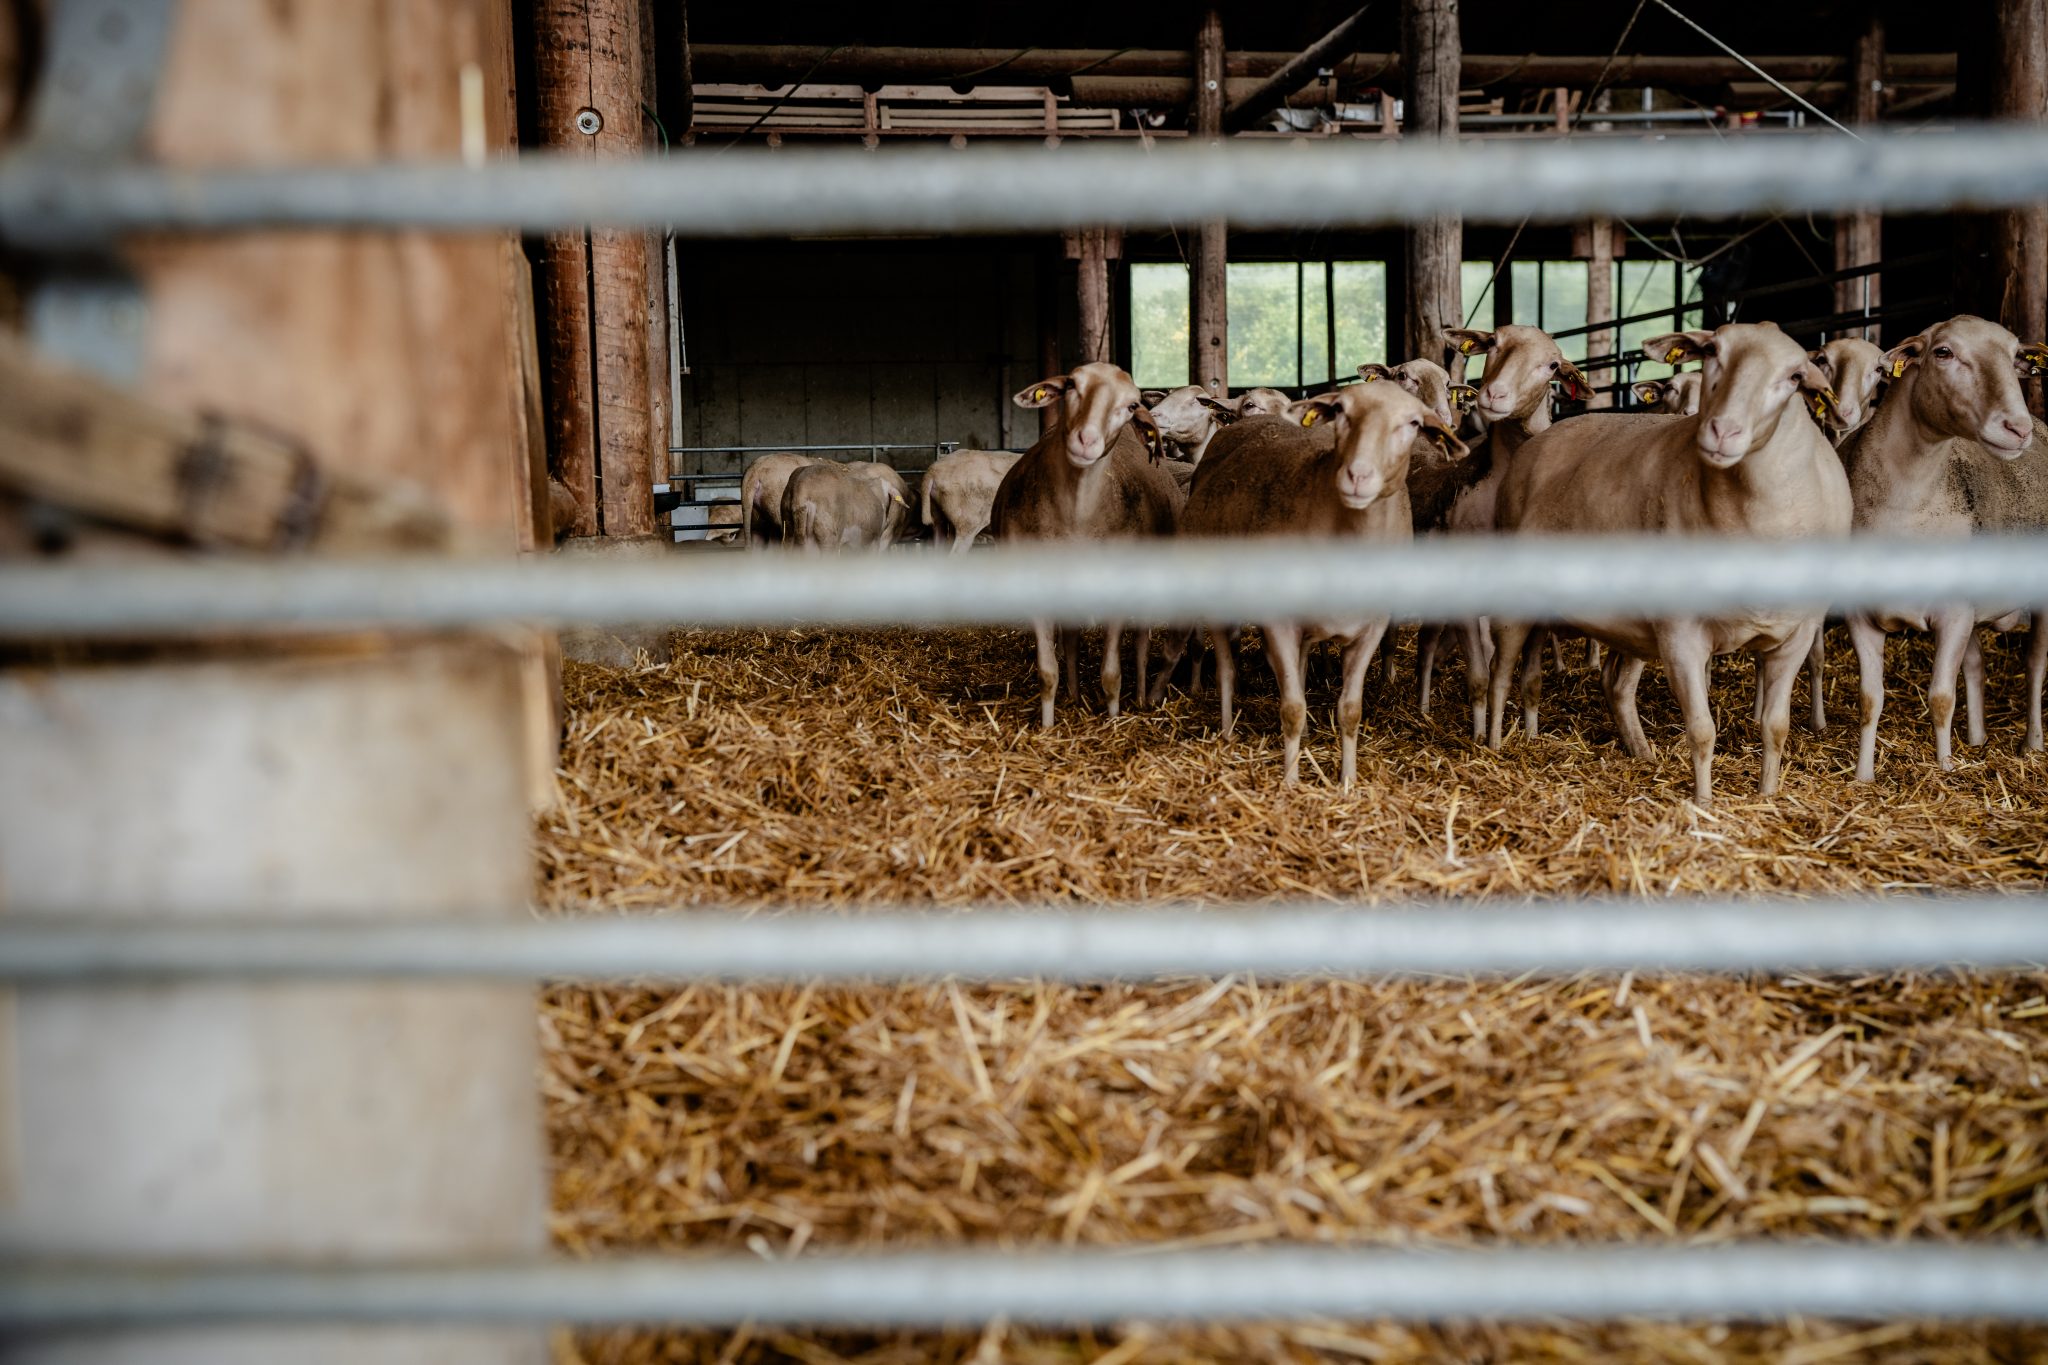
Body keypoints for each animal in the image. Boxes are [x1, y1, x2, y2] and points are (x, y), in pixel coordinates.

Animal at [993, 361, 1178, 728]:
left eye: (1132, 405)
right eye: (1071, 386)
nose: (1086, 440)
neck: (1076, 514)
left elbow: (1111, 673)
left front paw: (1114, 720)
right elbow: (1048, 670)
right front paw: (1048, 726)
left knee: (1141, 640)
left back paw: (1140, 698)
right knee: (1071, 638)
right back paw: (1075, 696)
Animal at [1179, 382, 1462, 786]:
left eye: (1413, 423)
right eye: (1340, 411)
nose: (1357, 475)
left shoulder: (1370, 629)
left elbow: (1350, 710)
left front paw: (1347, 782)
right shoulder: (1278, 621)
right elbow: (1292, 707)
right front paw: (1291, 782)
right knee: (1226, 668)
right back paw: (1227, 729)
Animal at [1489, 322, 1853, 805]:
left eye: (1796, 376)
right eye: (1713, 351)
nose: (1723, 431)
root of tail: (1537, 442)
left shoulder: (1795, 636)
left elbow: (1775, 727)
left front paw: (1767, 797)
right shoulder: (1681, 634)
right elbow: (1701, 731)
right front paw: (1703, 805)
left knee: (1615, 684)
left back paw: (1641, 753)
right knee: (1500, 673)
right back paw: (1492, 745)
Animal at [1838, 314, 2048, 778]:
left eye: (2015, 357)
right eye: (1943, 352)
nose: (2018, 428)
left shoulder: (1954, 613)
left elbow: (1940, 697)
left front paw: (1946, 768)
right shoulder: (1861, 614)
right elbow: (1869, 699)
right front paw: (1862, 776)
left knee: (2034, 663)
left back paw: (2031, 744)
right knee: (1976, 664)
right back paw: (1978, 738)